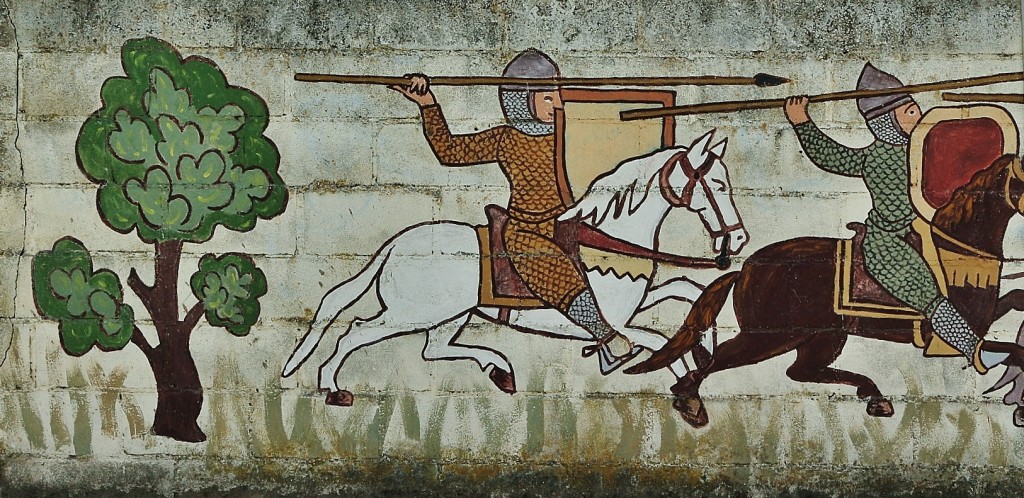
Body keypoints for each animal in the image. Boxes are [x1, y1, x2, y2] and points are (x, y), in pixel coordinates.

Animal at [284, 130, 749, 401]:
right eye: (717, 182)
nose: (739, 238)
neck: (609, 238)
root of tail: (397, 244)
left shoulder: (632, 303)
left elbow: (685, 288)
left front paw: (704, 349)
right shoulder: (614, 322)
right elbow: (657, 340)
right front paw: (687, 387)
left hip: (451, 314)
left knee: (434, 349)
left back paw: (501, 369)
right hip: (409, 313)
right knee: (356, 331)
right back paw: (331, 387)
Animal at [626, 153, 1024, 426]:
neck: (957, 248)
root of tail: (745, 269)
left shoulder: (980, 320)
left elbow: (1014, 302)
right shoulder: (958, 331)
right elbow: (1013, 350)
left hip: (823, 335)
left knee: (799, 371)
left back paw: (874, 395)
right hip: (770, 337)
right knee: (717, 361)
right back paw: (689, 403)